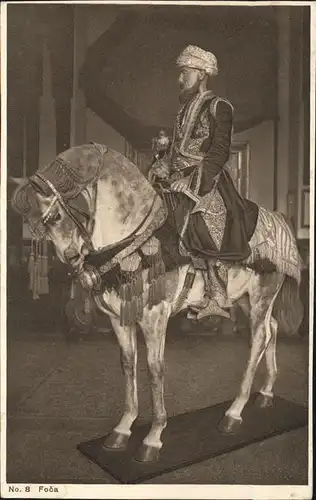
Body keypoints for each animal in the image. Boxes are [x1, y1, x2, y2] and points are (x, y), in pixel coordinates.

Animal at [11, 143, 304, 462]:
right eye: (32, 222)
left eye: (53, 217)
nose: (71, 256)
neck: (133, 239)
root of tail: (279, 220)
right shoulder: (118, 318)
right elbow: (128, 363)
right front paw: (122, 429)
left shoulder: (155, 316)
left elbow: (155, 367)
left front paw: (153, 436)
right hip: (244, 300)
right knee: (271, 329)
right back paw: (265, 394)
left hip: (262, 295)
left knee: (259, 337)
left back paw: (234, 412)